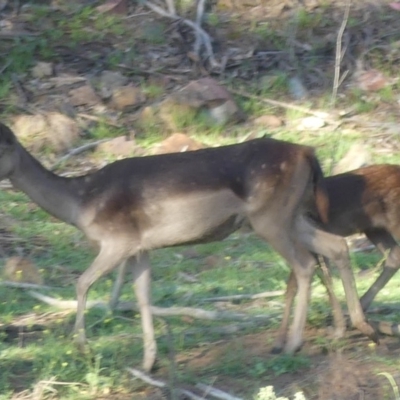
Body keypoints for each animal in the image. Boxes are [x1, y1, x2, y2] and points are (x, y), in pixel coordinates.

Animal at [0, 122, 376, 372]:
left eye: (0, 146)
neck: (80, 205)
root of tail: (307, 152)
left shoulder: (117, 240)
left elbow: (81, 283)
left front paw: (83, 348)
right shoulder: (139, 248)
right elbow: (142, 297)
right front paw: (148, 363)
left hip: (270, 218)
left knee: (304, 264)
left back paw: (294, 344)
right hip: (291, 216)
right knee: (334, 246)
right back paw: (355, 326)